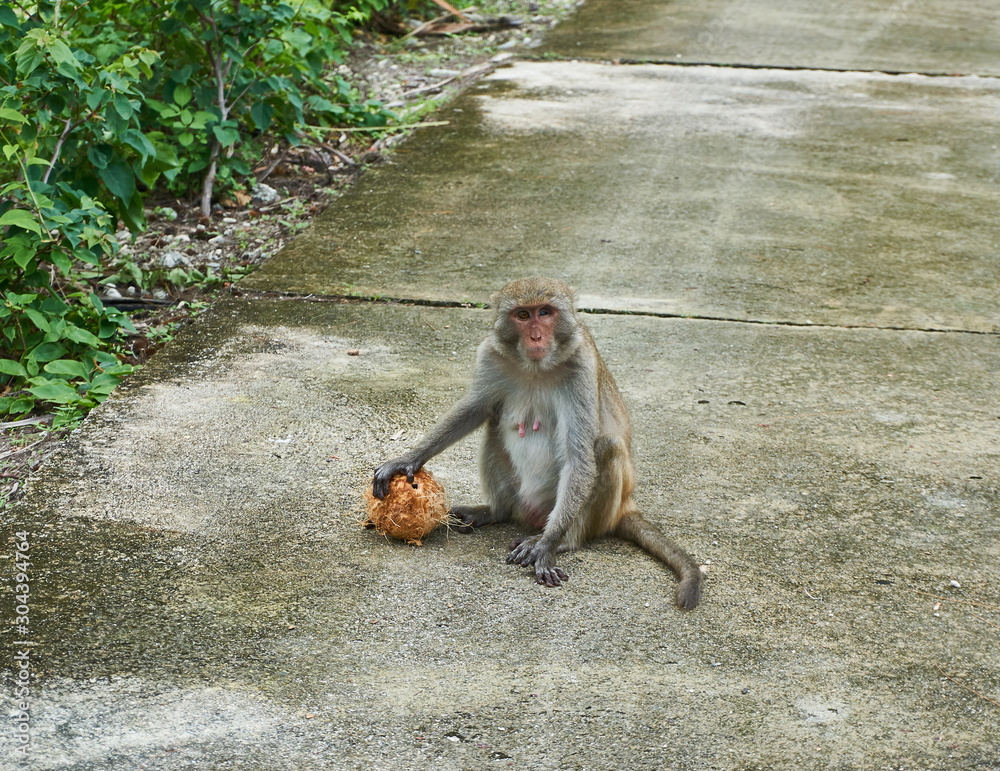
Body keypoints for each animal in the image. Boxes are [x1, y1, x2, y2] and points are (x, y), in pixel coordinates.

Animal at [372, 277, 702, 609]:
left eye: (545, 312)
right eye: (523, 315)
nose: (535, 336)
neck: (535, 366)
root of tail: (626, 504)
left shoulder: (581, 365)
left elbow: (579, 456)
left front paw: (547, 546)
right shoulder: (490, 355)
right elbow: (475, 410)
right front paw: (408, 459)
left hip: (588, 512)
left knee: (605, 447)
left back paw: (564, 540)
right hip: (520, 497)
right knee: (494, 425)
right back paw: (495, 512)